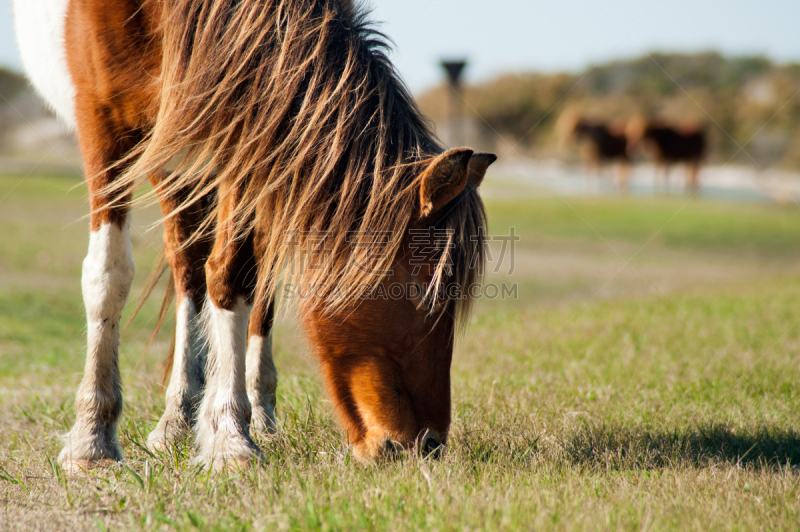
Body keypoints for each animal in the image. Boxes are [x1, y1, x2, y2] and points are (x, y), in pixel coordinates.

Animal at [15, 0, 496, 470]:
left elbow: (233, 278)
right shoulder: (103, 119)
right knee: (188, 269)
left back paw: (249, 415)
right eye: (423, 295)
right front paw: (92, 440)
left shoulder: (249, 135)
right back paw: (176, 421)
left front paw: (231, 435)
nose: (427, 444)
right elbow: (108, 276)